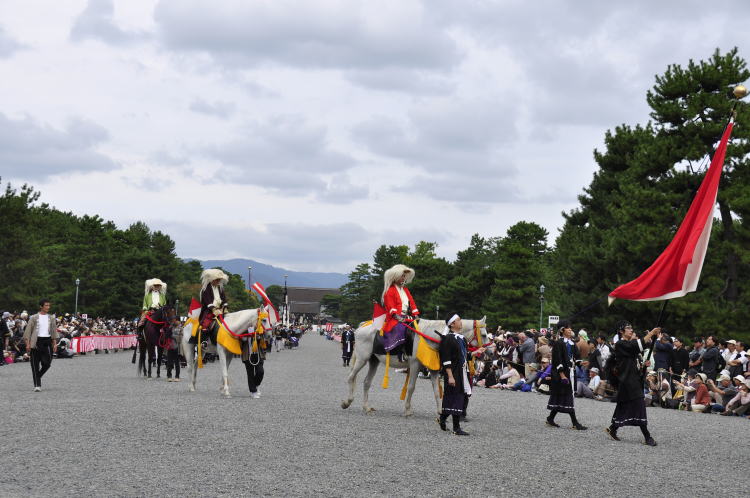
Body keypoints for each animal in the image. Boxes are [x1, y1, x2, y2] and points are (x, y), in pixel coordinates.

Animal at [340, 320, 488, 416]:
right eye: (484, 335)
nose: (488, 353)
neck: (431, 336)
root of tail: (361, 327)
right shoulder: (415, 365)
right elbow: (411, 387)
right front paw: (407, 410)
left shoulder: (433, 369)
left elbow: (436, 390)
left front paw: (440, 411)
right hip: (362, 358)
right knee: (351, 377)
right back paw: (347, 402)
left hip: (374, 360)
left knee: (366, 382)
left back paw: (366, 407)